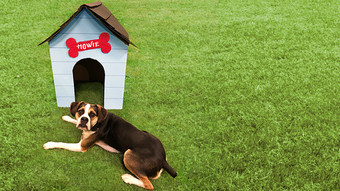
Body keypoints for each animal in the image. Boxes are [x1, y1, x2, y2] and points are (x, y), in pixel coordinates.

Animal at [43, 101, 177, 190]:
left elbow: (62, 143)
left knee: (149, 184)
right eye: (80, 112)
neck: (98, 123)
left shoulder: (81, 146)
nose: (84, 119)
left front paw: (50, 144)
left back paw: (128, 178)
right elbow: (74, 121)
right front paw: (67, 117)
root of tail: (162, 159)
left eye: (92, 114)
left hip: (128, 154)